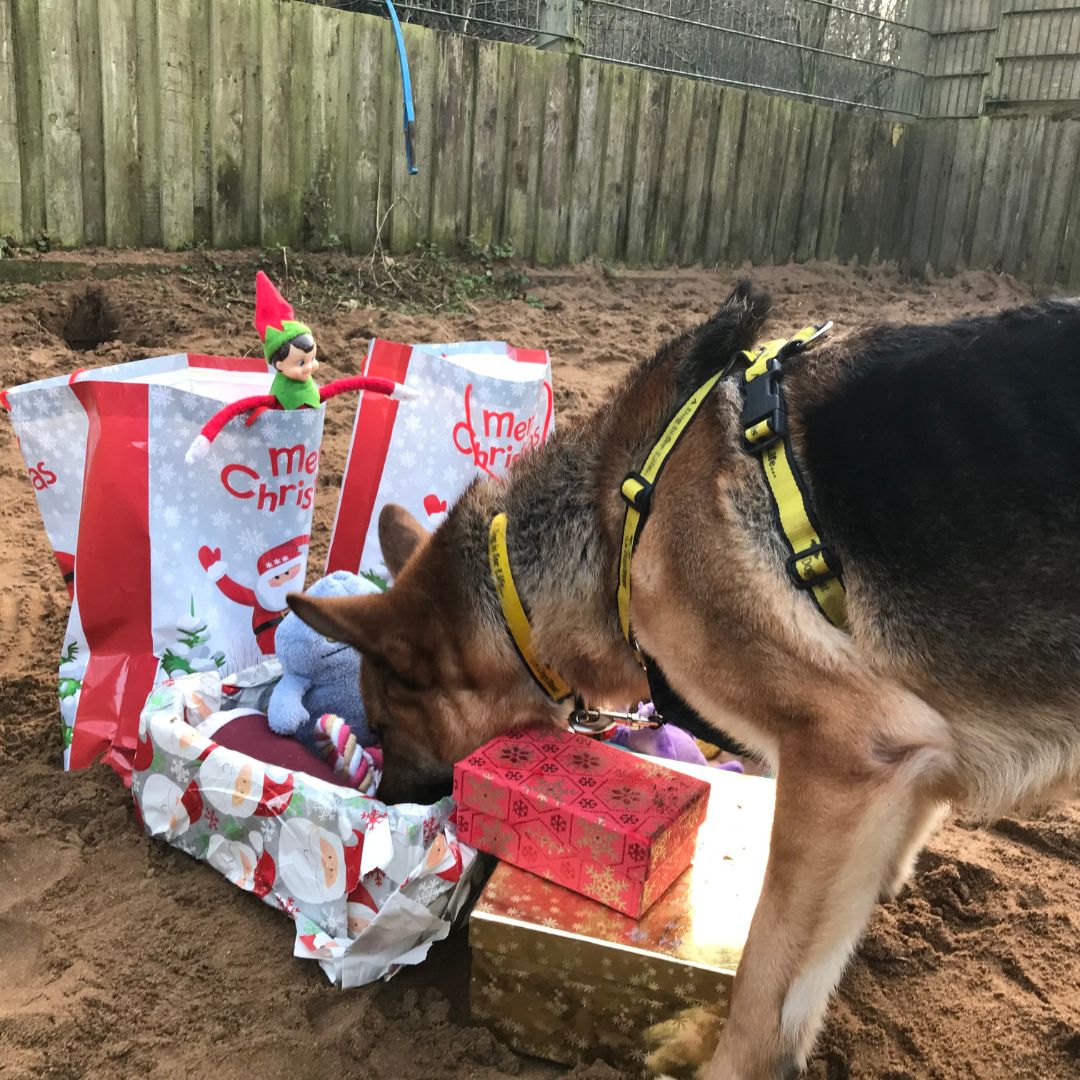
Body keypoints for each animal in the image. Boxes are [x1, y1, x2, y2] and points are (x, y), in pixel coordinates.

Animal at [289, 287, 1080, 1080]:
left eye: (384, 726)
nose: (385, 803)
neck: (621, 520)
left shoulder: (848, 754)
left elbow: (768, 981)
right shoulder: (897, 760)